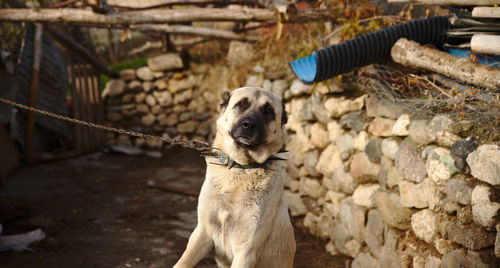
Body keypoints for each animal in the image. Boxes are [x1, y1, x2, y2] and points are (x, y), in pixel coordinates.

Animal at [174, 87, 294, 266]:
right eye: (242, 104)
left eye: (268, 110)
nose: (248, 125)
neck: (240, 169)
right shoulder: (202, 233)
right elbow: (183, 262)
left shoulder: (245, 252)